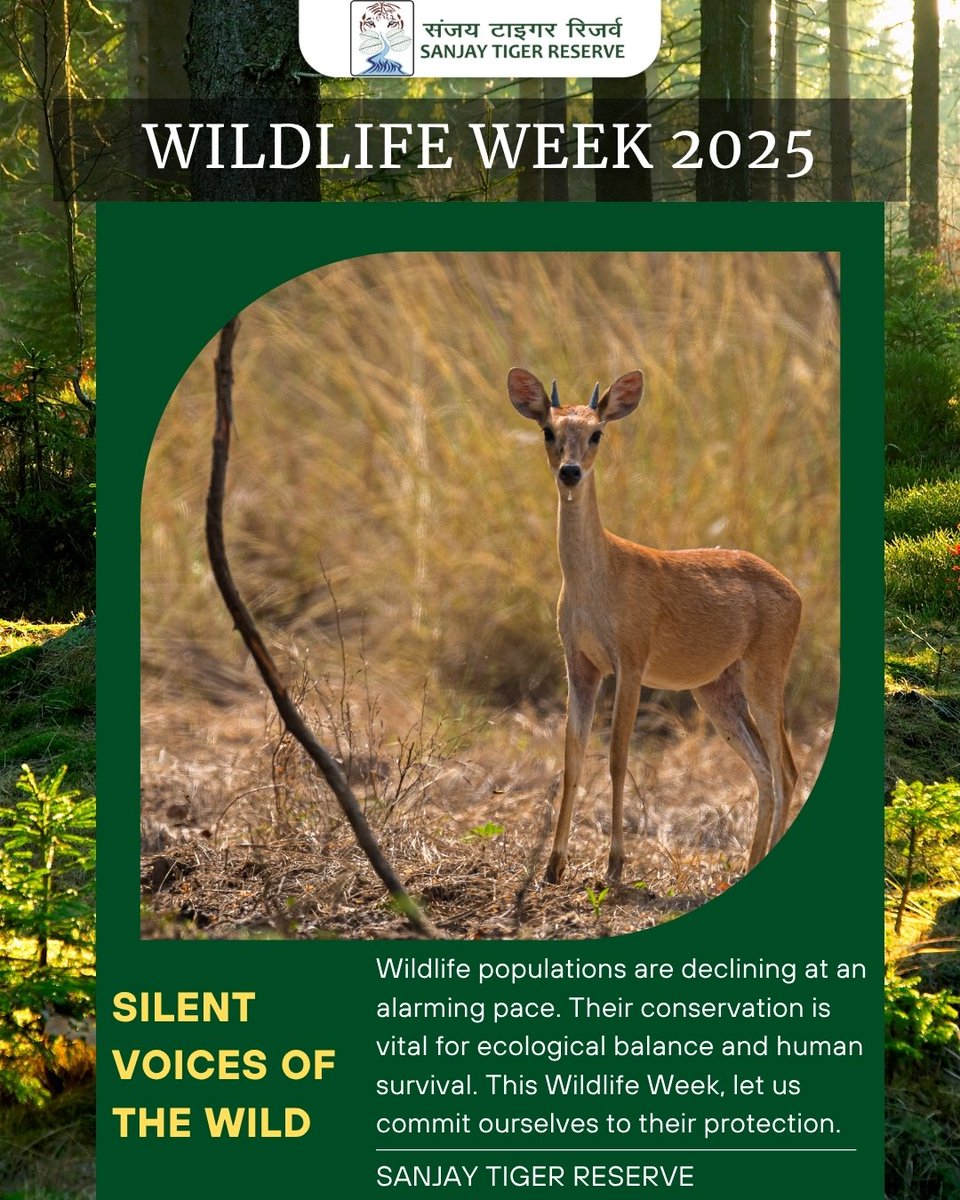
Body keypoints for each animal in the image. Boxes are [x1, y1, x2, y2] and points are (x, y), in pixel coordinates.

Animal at [507, 367, 802, 885]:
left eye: (597, 432)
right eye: (548, 429)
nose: (570, 472)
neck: (599, 579)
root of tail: (795, 593)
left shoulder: (630, 663)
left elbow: (617, 757)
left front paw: (615, 865)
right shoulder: (580, 664)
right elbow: (571, 757)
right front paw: (553, 866)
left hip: (764, 677)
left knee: (786, 769)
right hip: (716, 691)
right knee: (764, 769)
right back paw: (749, 866)